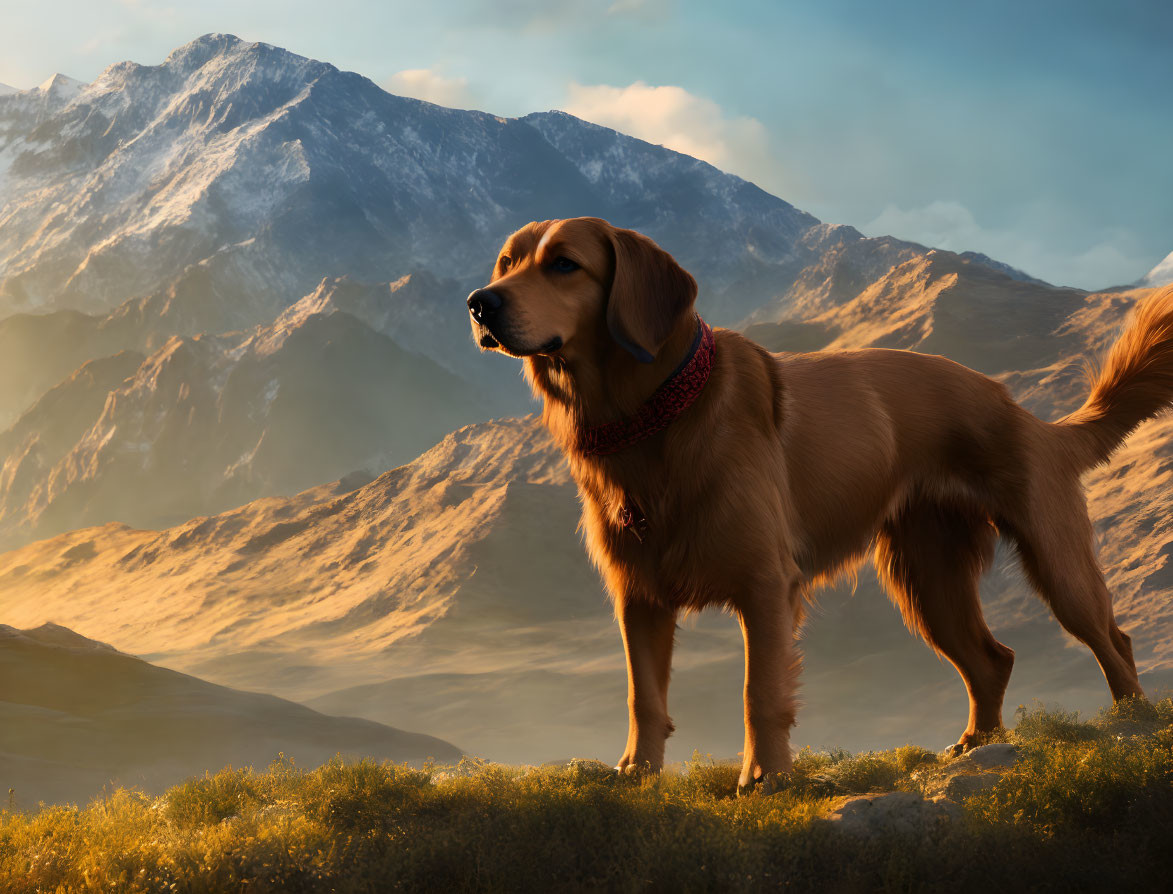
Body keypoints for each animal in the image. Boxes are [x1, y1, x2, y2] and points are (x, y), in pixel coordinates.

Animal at [466, 215, 1173, 788]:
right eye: (506, 262)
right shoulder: (638, 597)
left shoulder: (764, 586)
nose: (478, 303)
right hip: (927, 582)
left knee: (1113, 640)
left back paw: (1132, 727)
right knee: (992, 660)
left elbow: (761, 692)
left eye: (564, 263)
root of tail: (1030, 418)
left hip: (1054, 561)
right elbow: (646, 699)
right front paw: (638, 773)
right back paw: (977, 745)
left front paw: (767, 779)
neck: (653, 417)